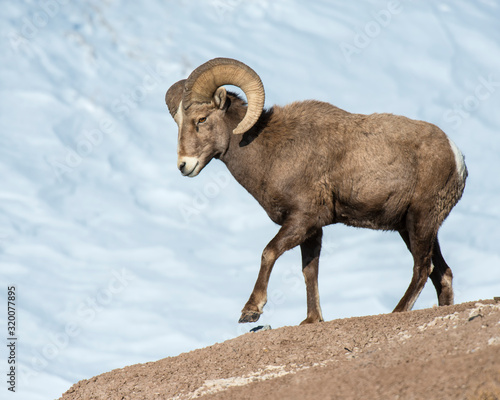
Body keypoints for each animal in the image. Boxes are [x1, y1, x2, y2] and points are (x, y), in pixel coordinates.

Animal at [166, 57, 466, 324]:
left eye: (201, 119)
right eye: (179, 123)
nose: (184, 165)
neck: (270, 151)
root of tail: (456, 156)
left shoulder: (303, 219)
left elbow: (268, 252)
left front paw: (251, 311)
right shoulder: (312, 230)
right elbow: (310, 271)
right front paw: (312, 319)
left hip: (420, 221)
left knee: (422, 268)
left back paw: (397, 311)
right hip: (412, 227)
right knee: (442, 274)